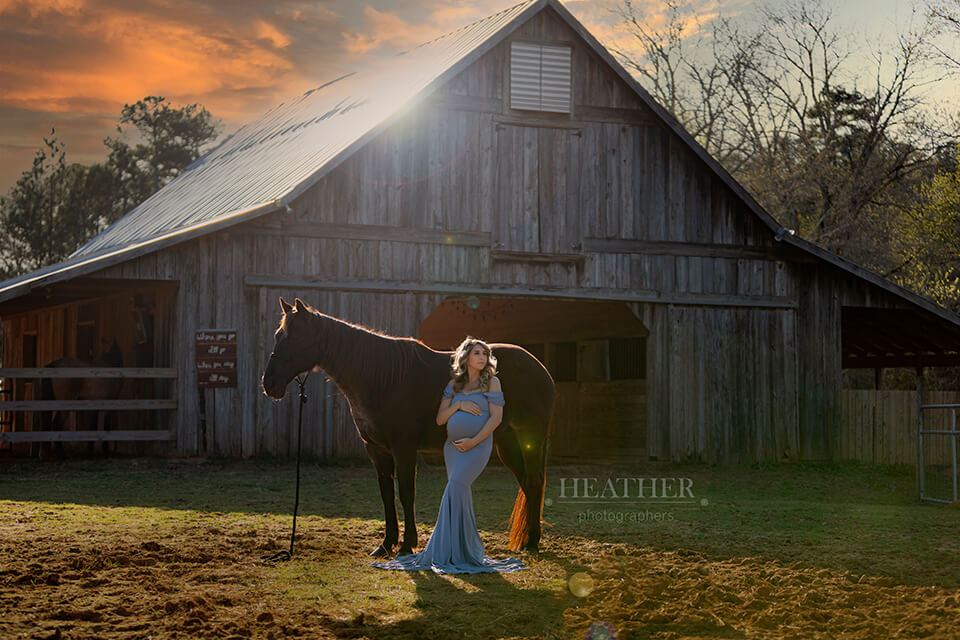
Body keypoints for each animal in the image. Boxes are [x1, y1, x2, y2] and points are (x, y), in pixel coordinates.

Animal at [262, 298, 556, 556]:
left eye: (296, 336)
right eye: (277, 335)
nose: (269, 383)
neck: (381, 378)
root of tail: (540, 368)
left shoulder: (403, 448)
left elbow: (406, 492)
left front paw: (406, 545)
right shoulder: (376, 450)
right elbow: (386, 494)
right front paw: (386, 545)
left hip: (529, 439)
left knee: (533, 482)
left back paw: (532, 543)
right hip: (506, 444)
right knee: (527, 484)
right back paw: (527, 540)